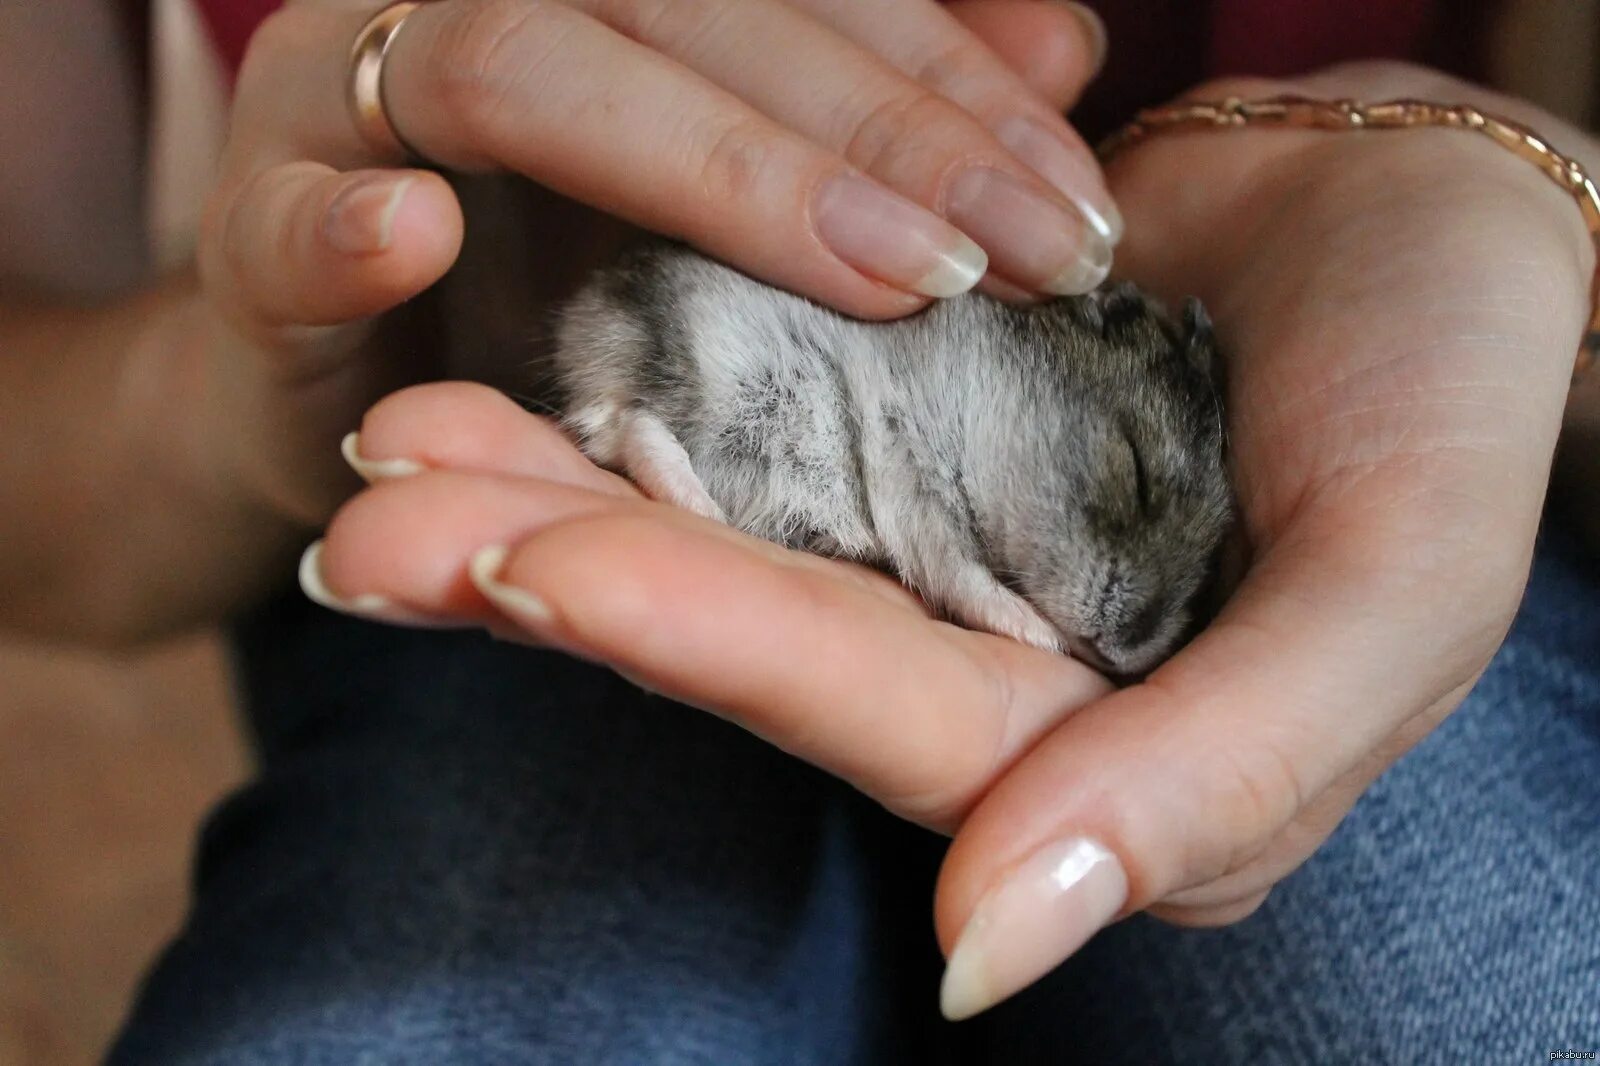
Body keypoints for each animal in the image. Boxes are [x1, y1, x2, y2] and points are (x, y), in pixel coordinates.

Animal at [553, 244, 1235, 669]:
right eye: (1136, 468)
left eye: (1211, 558)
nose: (1131, 647)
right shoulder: (921, 493)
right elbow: (967, 577)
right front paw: (1041, 635)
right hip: (713, 361)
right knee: (631, 424)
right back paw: (700, 506)